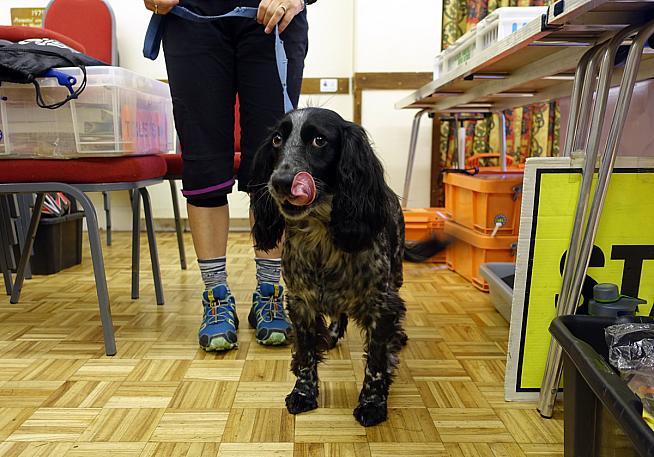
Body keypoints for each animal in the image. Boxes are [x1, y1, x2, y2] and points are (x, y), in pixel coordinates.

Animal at [251, 107, 446, 424]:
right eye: (277, 139)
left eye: (319, 140)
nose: (280, 181)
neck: (321, 237)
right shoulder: (301, 302)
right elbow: (306, 355)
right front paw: (303, 392)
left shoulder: (381, 305)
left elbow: (377, 361)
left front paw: (372, 403)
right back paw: (331, 335)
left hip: (396, 274)